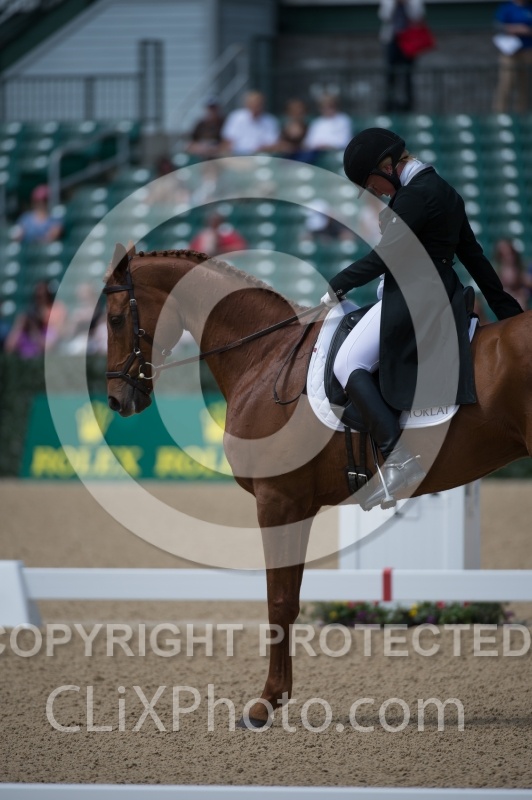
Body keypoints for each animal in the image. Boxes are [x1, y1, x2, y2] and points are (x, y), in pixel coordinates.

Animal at [104, 242, 532, 728]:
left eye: (115, 319)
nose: (116, 399)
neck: (265, 356)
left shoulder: (277, 501)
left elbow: (277, 601)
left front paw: (263, 704)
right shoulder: (298, 506)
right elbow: (289, 598)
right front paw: (279, 696)